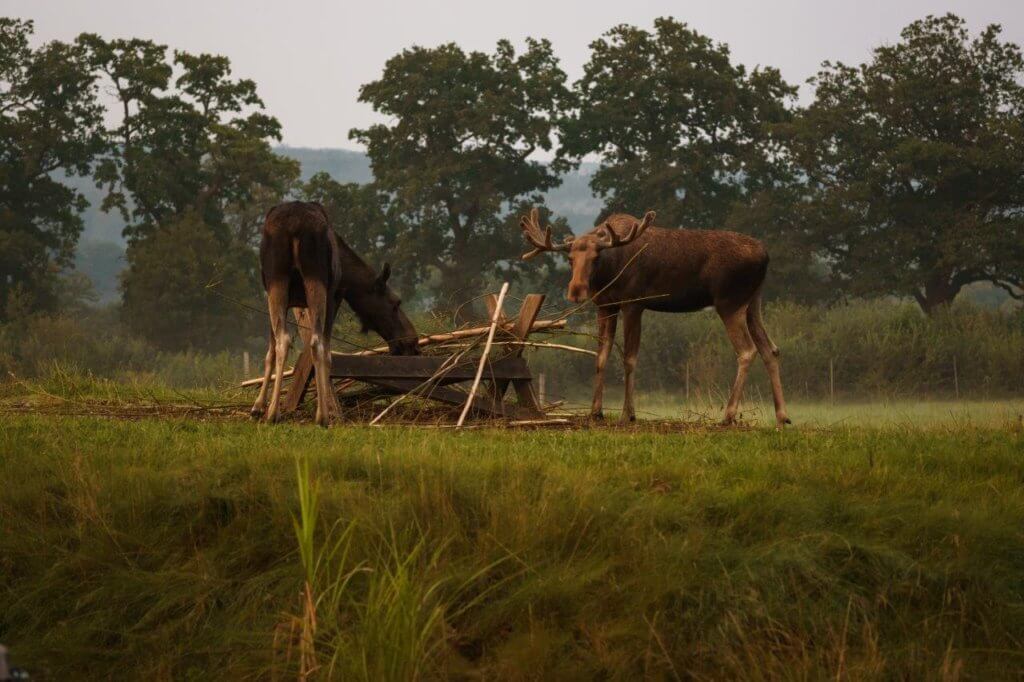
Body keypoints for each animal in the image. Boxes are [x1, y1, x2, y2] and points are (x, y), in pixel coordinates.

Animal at [251, 199, 419, 428]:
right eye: (395, 303)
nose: (412, 341)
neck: (347, 275)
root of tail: (294, 226)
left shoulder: (276, 294)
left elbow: (271, 350)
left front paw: (259, 406)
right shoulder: (335, 295)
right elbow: (327, 352)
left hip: (279, 280)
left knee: (286, 339)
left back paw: (275, 413)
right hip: (315, 280)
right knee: (315, 343)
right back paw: (320, 416)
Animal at [520, 209, 790, 428]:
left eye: (596, 258)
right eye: (570, 259)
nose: (576, 291)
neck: (610, 270)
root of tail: (765, 256)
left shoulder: (634, 303)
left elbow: (629, 358)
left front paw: (628, 414)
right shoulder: (605, 305)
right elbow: (601, 356)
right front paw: (595, 412)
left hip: (729, 301)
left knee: (747, 350)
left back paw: (729, 415)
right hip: (753, 302)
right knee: (770, 349)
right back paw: (782, 416)